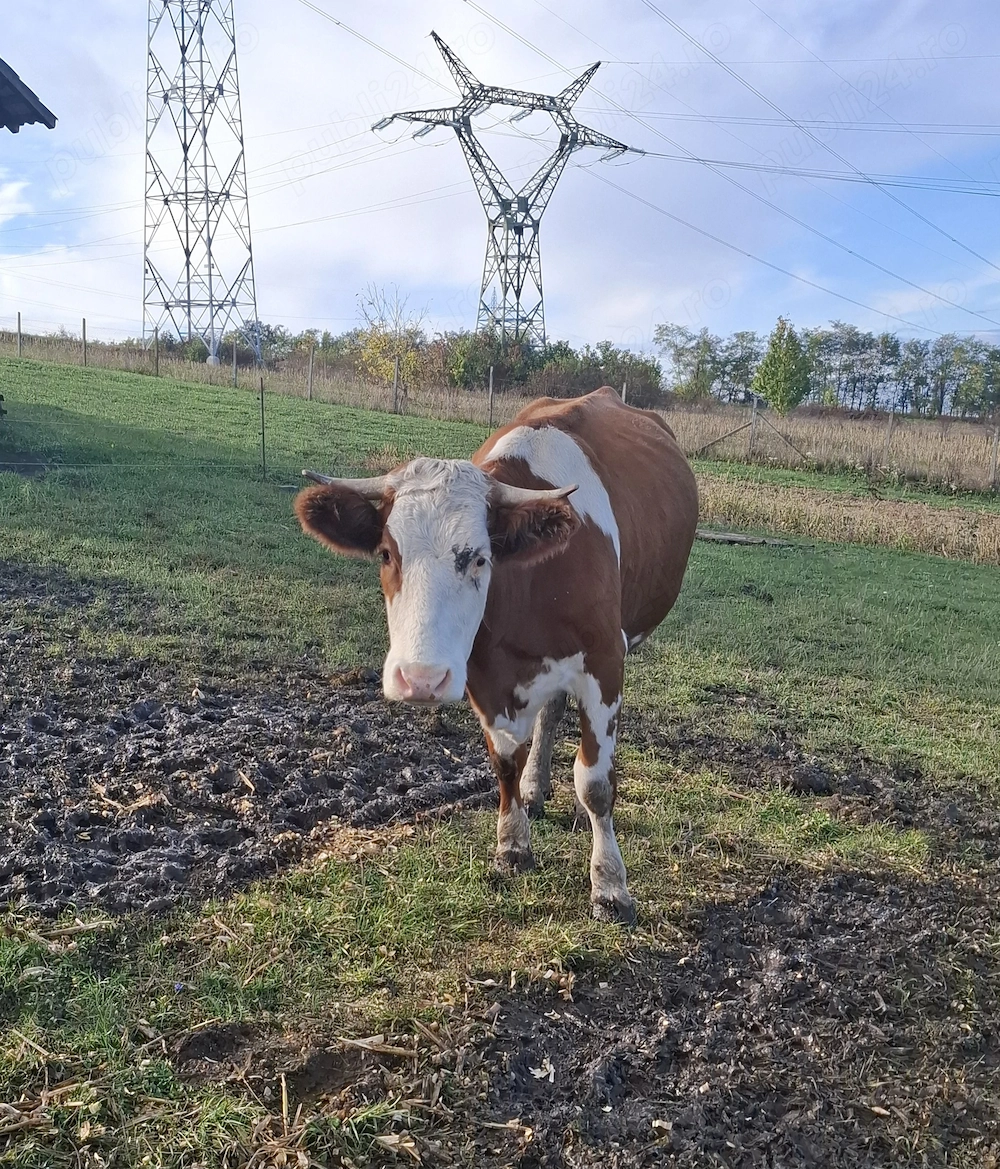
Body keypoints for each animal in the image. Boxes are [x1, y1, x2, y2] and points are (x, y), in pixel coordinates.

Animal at [295, 387, 699, 923]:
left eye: (480, 558)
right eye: (385, 553)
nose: (420, 679)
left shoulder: (605, 662)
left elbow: (595, 783)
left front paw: (610, 885)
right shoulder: (483, 674)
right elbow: (505, 759)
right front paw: (512, 844)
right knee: (549, 715)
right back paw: (534, 787)